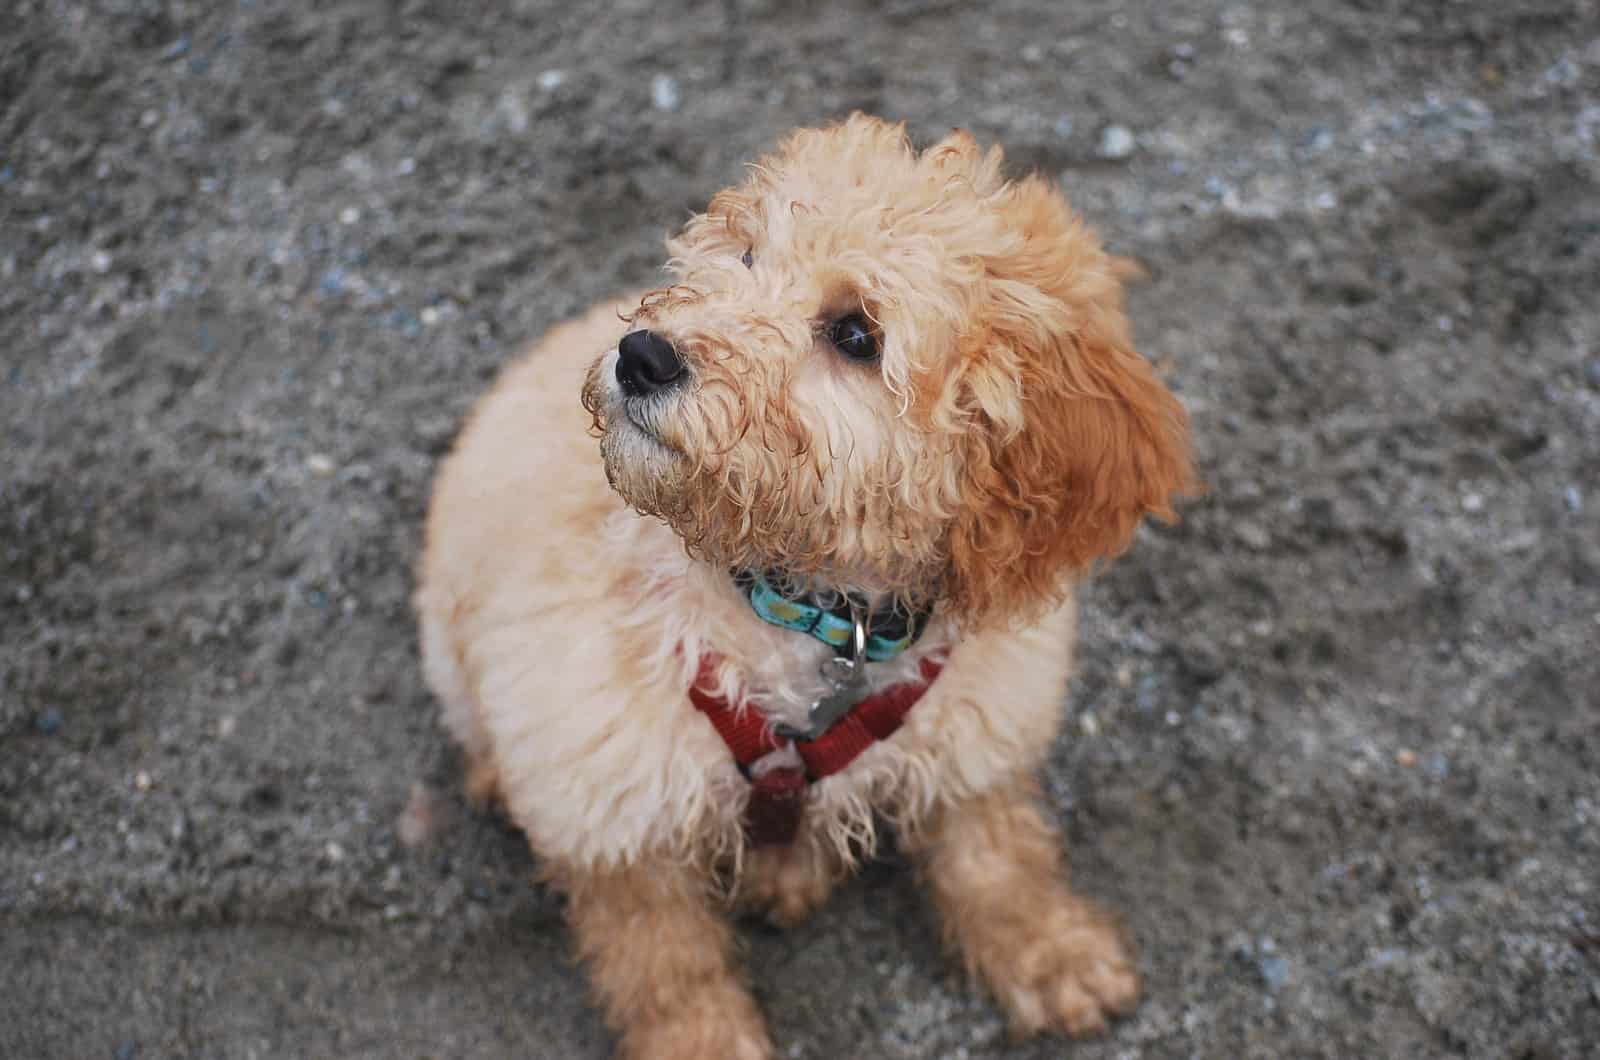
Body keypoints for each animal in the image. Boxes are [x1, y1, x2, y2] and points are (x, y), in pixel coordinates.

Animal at [419, 112, 1196, 1056]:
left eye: (857, 335)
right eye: (747, 253)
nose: (642, 354)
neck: (810, 615)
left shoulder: (976, 726)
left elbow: (996, 855)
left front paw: (1052, 955)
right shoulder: (607, 796)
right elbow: (663, 960)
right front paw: (703, 1042)